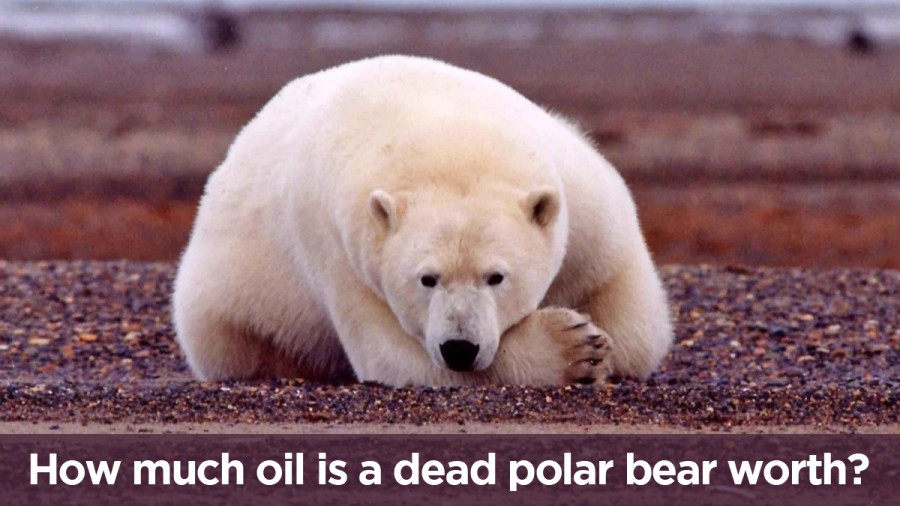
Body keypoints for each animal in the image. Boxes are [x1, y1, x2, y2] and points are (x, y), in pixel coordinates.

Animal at [172, 55, 673, 386]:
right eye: (427, 278)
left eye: (496, 276)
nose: (460, 347)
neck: (446, 137)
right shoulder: (341, 248)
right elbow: (393, 357)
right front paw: (575, 347)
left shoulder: (581, 195)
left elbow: (632, 317)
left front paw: (601, 343)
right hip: (229, 303)